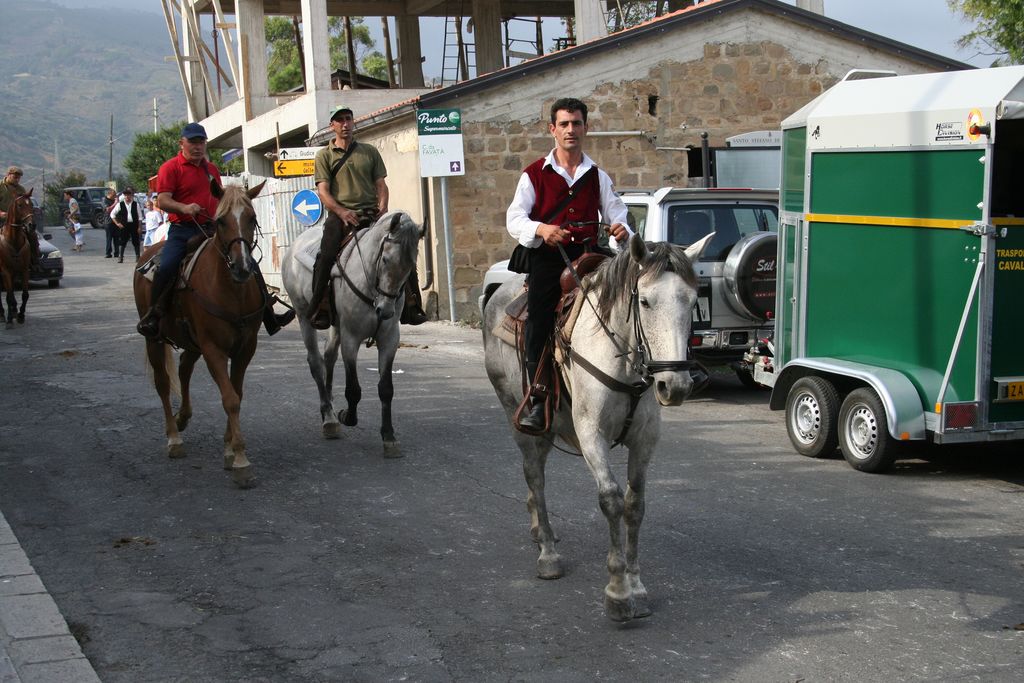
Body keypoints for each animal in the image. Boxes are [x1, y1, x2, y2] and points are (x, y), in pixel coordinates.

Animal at [133, 180, 267, 488]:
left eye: (252, 217)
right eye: (220, 221)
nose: (242, 267)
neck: (232, 291)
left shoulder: (246, 348)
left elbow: (237, 393)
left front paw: (229, 448)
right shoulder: (213, 349)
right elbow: (230, 399)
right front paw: (240, 460)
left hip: (192, 343)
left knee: (183, 369)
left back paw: (183, 417)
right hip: (154, 339)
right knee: (162, 382)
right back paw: (174, 437)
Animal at [281, 212, 422, 456]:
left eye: (410, 265)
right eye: (386, 260)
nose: (385, 311)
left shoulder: (389, 339)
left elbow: (386, 389)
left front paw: (389, 437)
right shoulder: (351, 339)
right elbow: (353, 389)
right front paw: (347, 416)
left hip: (336, 325)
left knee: (328, 357)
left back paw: (329, 405)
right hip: (304, 316)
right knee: (315, 362)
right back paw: (329, 418)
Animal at [482, 234, 712, 622]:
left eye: (693, 301)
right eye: (645, 301)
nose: (676, 386)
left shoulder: (645, 440)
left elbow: (635, 504)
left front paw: (636, 585)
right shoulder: (592, 435)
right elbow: (611, 501)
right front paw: (618, 591)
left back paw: (539, 532)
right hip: (518, 416)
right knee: (534, 477)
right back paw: (547, 553)